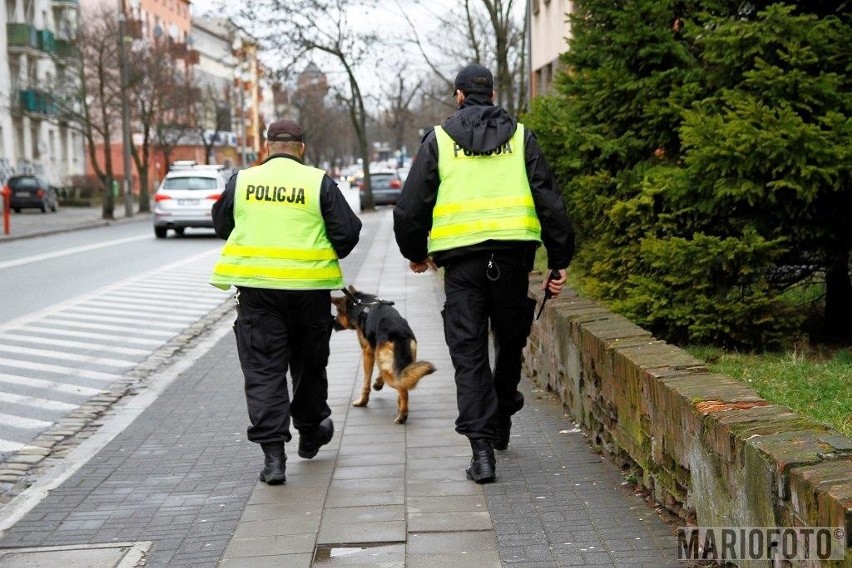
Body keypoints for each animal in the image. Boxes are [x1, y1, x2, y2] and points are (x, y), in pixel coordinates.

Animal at [332, 286, 436, 424]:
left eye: (338, 313)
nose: (332, 323)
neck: (360, 304)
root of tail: (399, 333)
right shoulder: (380, 356)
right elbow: (379, 372)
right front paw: (378, 383)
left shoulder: (368, 353)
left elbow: (366, 381)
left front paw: (362, 401)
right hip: (404, 363)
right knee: (403, 381)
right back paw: (400, 408)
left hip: (391, 371)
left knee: (402, 387)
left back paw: (402, 415)